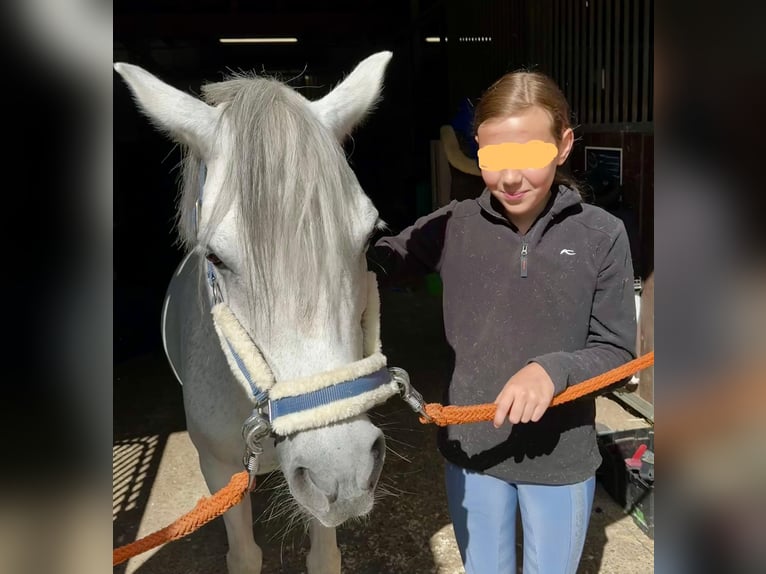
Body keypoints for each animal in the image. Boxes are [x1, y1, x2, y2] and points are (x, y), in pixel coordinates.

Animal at [114, 51, 412, 574]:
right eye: (215, 257)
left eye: (370, 236)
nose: (342, 471)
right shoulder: (219, 472)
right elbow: (245, 554)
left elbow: (324, 556)